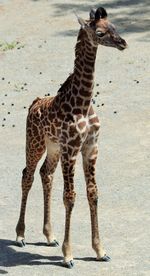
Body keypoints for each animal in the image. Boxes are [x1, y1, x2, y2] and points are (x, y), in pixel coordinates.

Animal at [15, 6, 127, 268]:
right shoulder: (71, 148)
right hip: (34, 142)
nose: (123, 43)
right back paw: (21, 235)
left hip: (53, 148)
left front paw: (100, 250)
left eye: (114, 26)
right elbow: (70, 196)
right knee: (27, 175)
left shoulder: (90, 148)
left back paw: (50, 236)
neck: (83, 104)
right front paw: (68, 255)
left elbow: (93, 193)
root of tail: (34, 103)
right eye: (100, 32)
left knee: (46, 174)